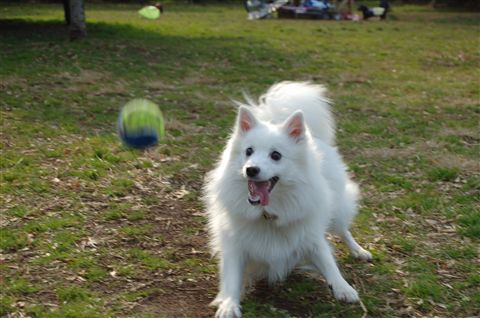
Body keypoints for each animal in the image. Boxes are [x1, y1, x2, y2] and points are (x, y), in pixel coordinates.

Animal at [202, 82, 372, 318]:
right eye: (248, 151)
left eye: (276, 155)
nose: (251, 169)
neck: (267, 213)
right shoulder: (234, 244)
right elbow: (232, 277)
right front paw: (229, 304)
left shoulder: (310, 235)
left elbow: (328, 261)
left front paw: (342, 287)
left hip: (337, 211)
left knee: (343, 230)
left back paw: (359, 251)